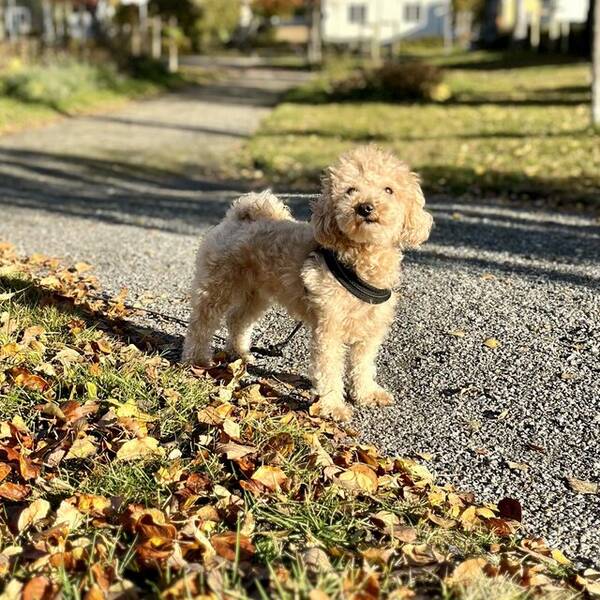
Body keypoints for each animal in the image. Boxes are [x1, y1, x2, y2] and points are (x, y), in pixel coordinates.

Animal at [183, 145, 432, 422]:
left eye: (389, 190)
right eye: (350, 190)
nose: (365, 207)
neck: (360, 261)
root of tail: (241, 215)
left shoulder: (370, 327)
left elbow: (363, 364)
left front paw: (366, 394)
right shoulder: (329, 327)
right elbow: (329, 369)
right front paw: (332, 406)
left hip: (256, 293)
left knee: (238, 319)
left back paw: (239, 353)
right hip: (219, 283)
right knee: (202, 322)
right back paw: (196, 359)